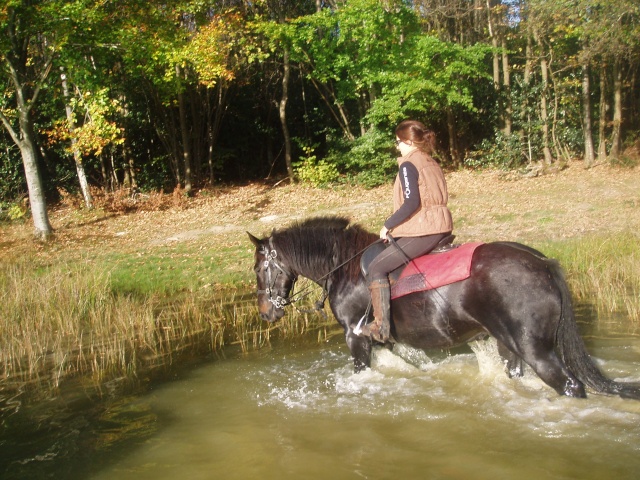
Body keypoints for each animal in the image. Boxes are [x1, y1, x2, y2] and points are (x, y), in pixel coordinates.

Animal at [249, 216, 640, 400]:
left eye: (258, 269)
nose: (267, 312)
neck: (344, 267)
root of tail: (542, 262)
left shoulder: (356, 338)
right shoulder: (390, 343)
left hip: (537, 350)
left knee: (571, 385)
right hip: (510, 345)